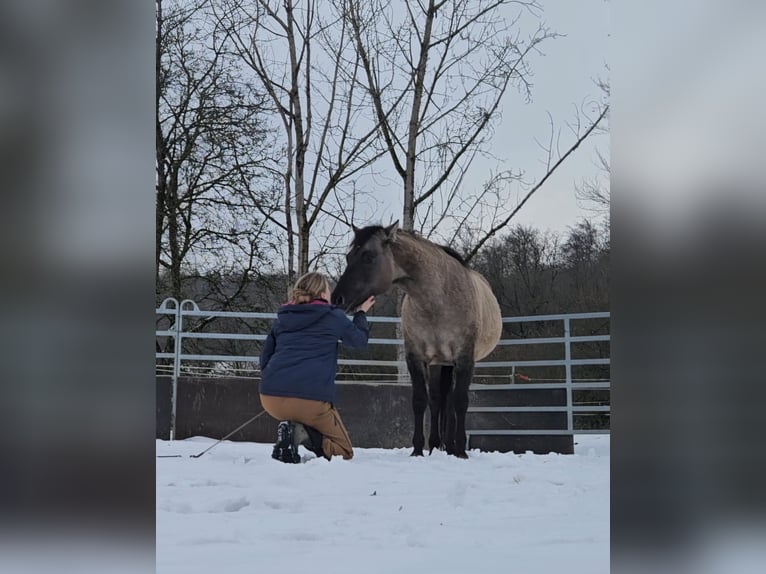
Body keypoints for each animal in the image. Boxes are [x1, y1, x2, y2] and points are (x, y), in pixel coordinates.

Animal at [331, 221, 502, 458]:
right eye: (349, 257)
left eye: (368, 256)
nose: (337, 299)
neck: (439, 301)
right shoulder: (416, 357)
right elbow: (420, 401)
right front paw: (419, 449)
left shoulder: (465, 359)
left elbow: (460, 401)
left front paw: (461, 451)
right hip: (440, 363)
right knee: (439, 400)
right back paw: (438, 444)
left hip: (451, 363)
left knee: (450, 402)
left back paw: (451, 447)